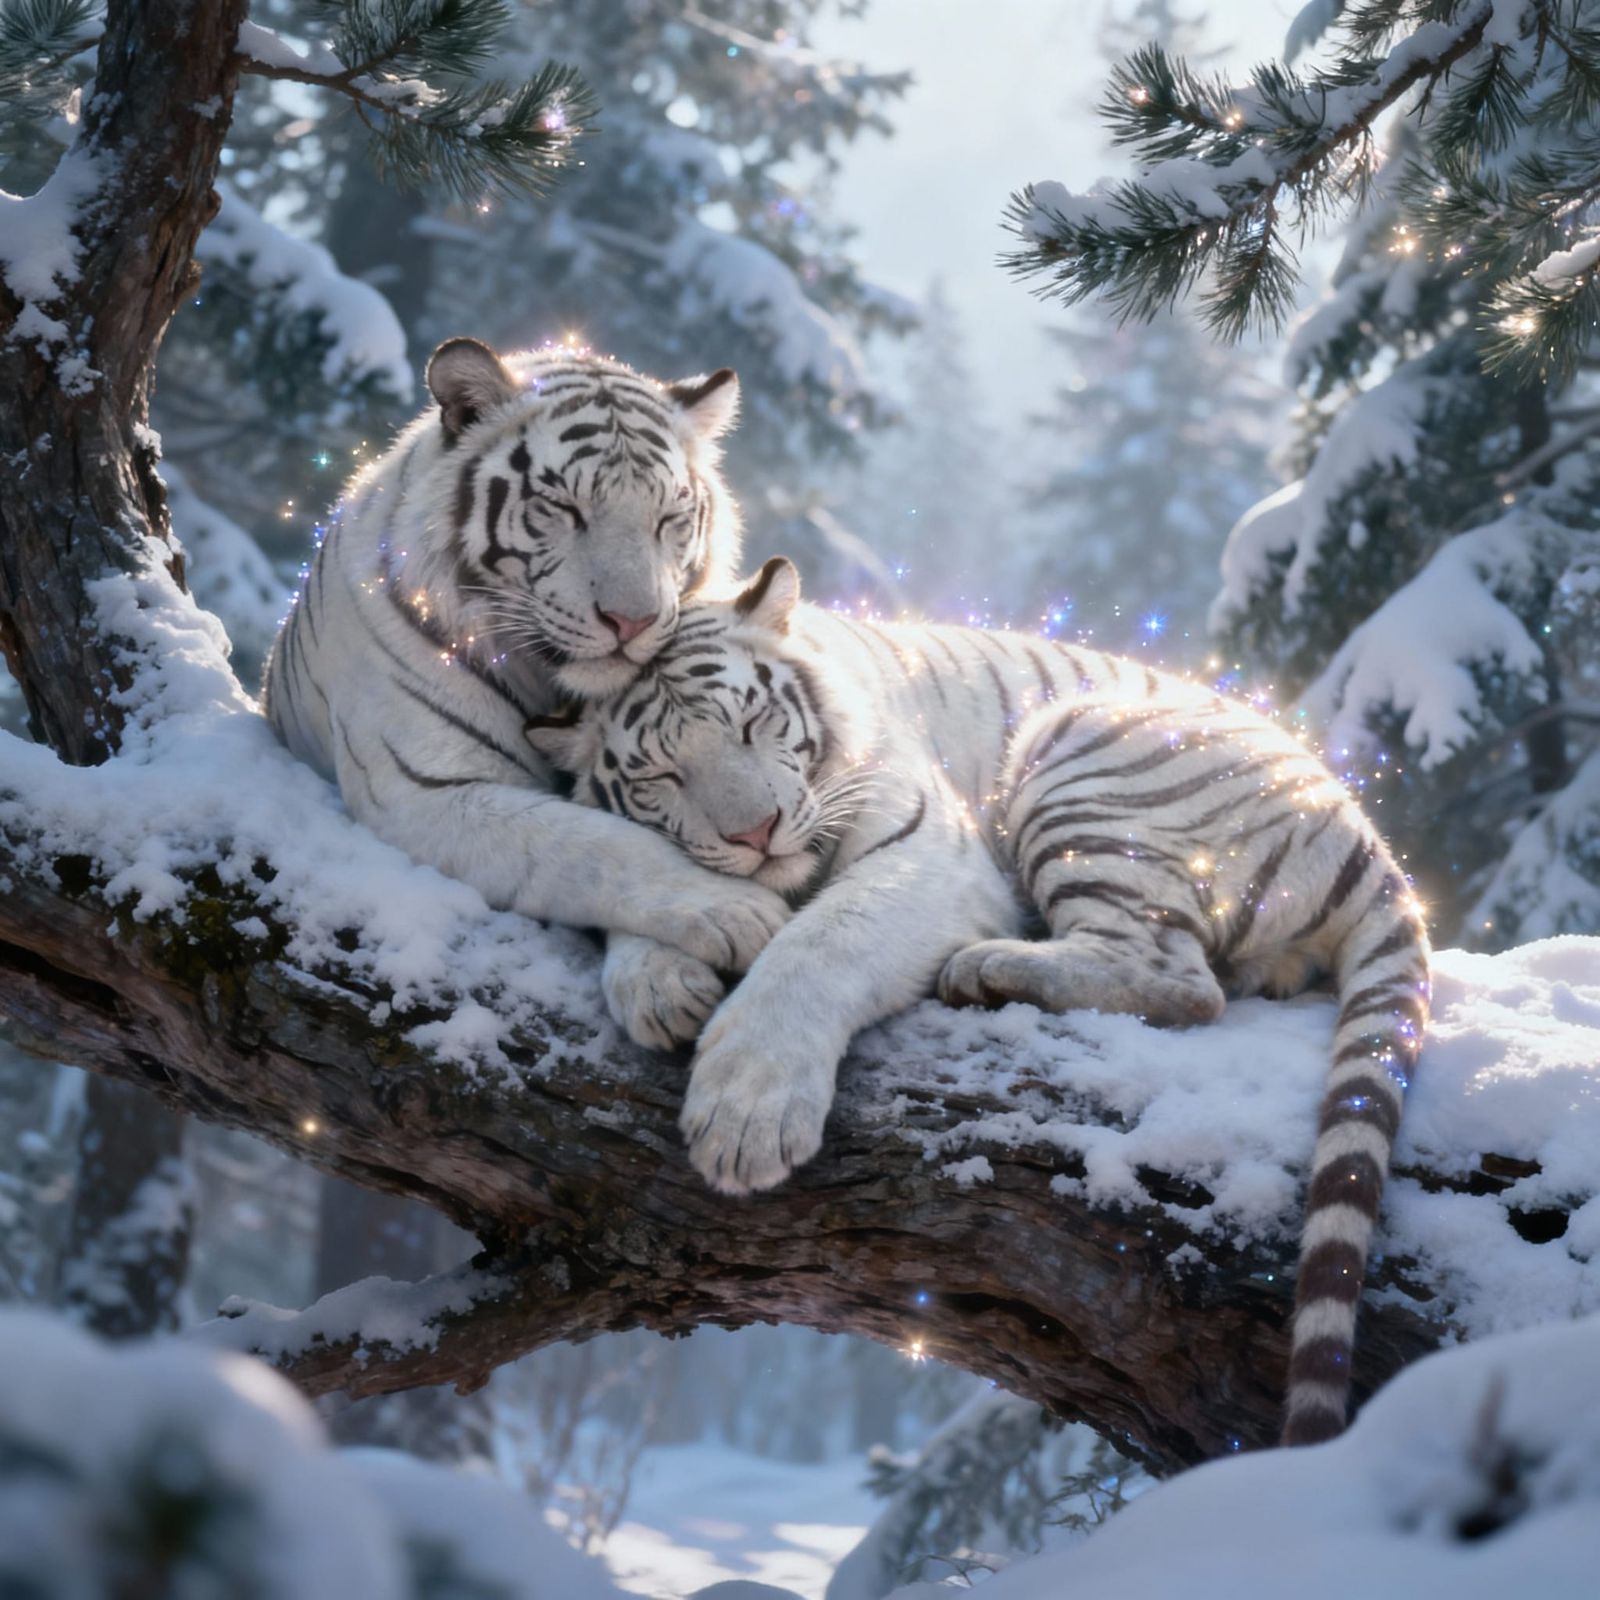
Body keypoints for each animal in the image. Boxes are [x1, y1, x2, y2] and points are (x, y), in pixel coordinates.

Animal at [263, 336, 790, 1000]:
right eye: (563, 507)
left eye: (669, 518)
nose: (634, 621)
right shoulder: (423, 790)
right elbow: (594, 843)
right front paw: (742, 912)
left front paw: (663, 979)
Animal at [526, 556, 1431, 1448]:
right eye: (661, 773)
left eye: (753, 725)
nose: (758, 833)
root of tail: (1371, 843)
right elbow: (632, 865)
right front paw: (661, 981)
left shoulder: (933, 855)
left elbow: (820, 943)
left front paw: (746, 1116)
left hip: (1080, 752)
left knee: (1179, 981)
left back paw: (986, 969)